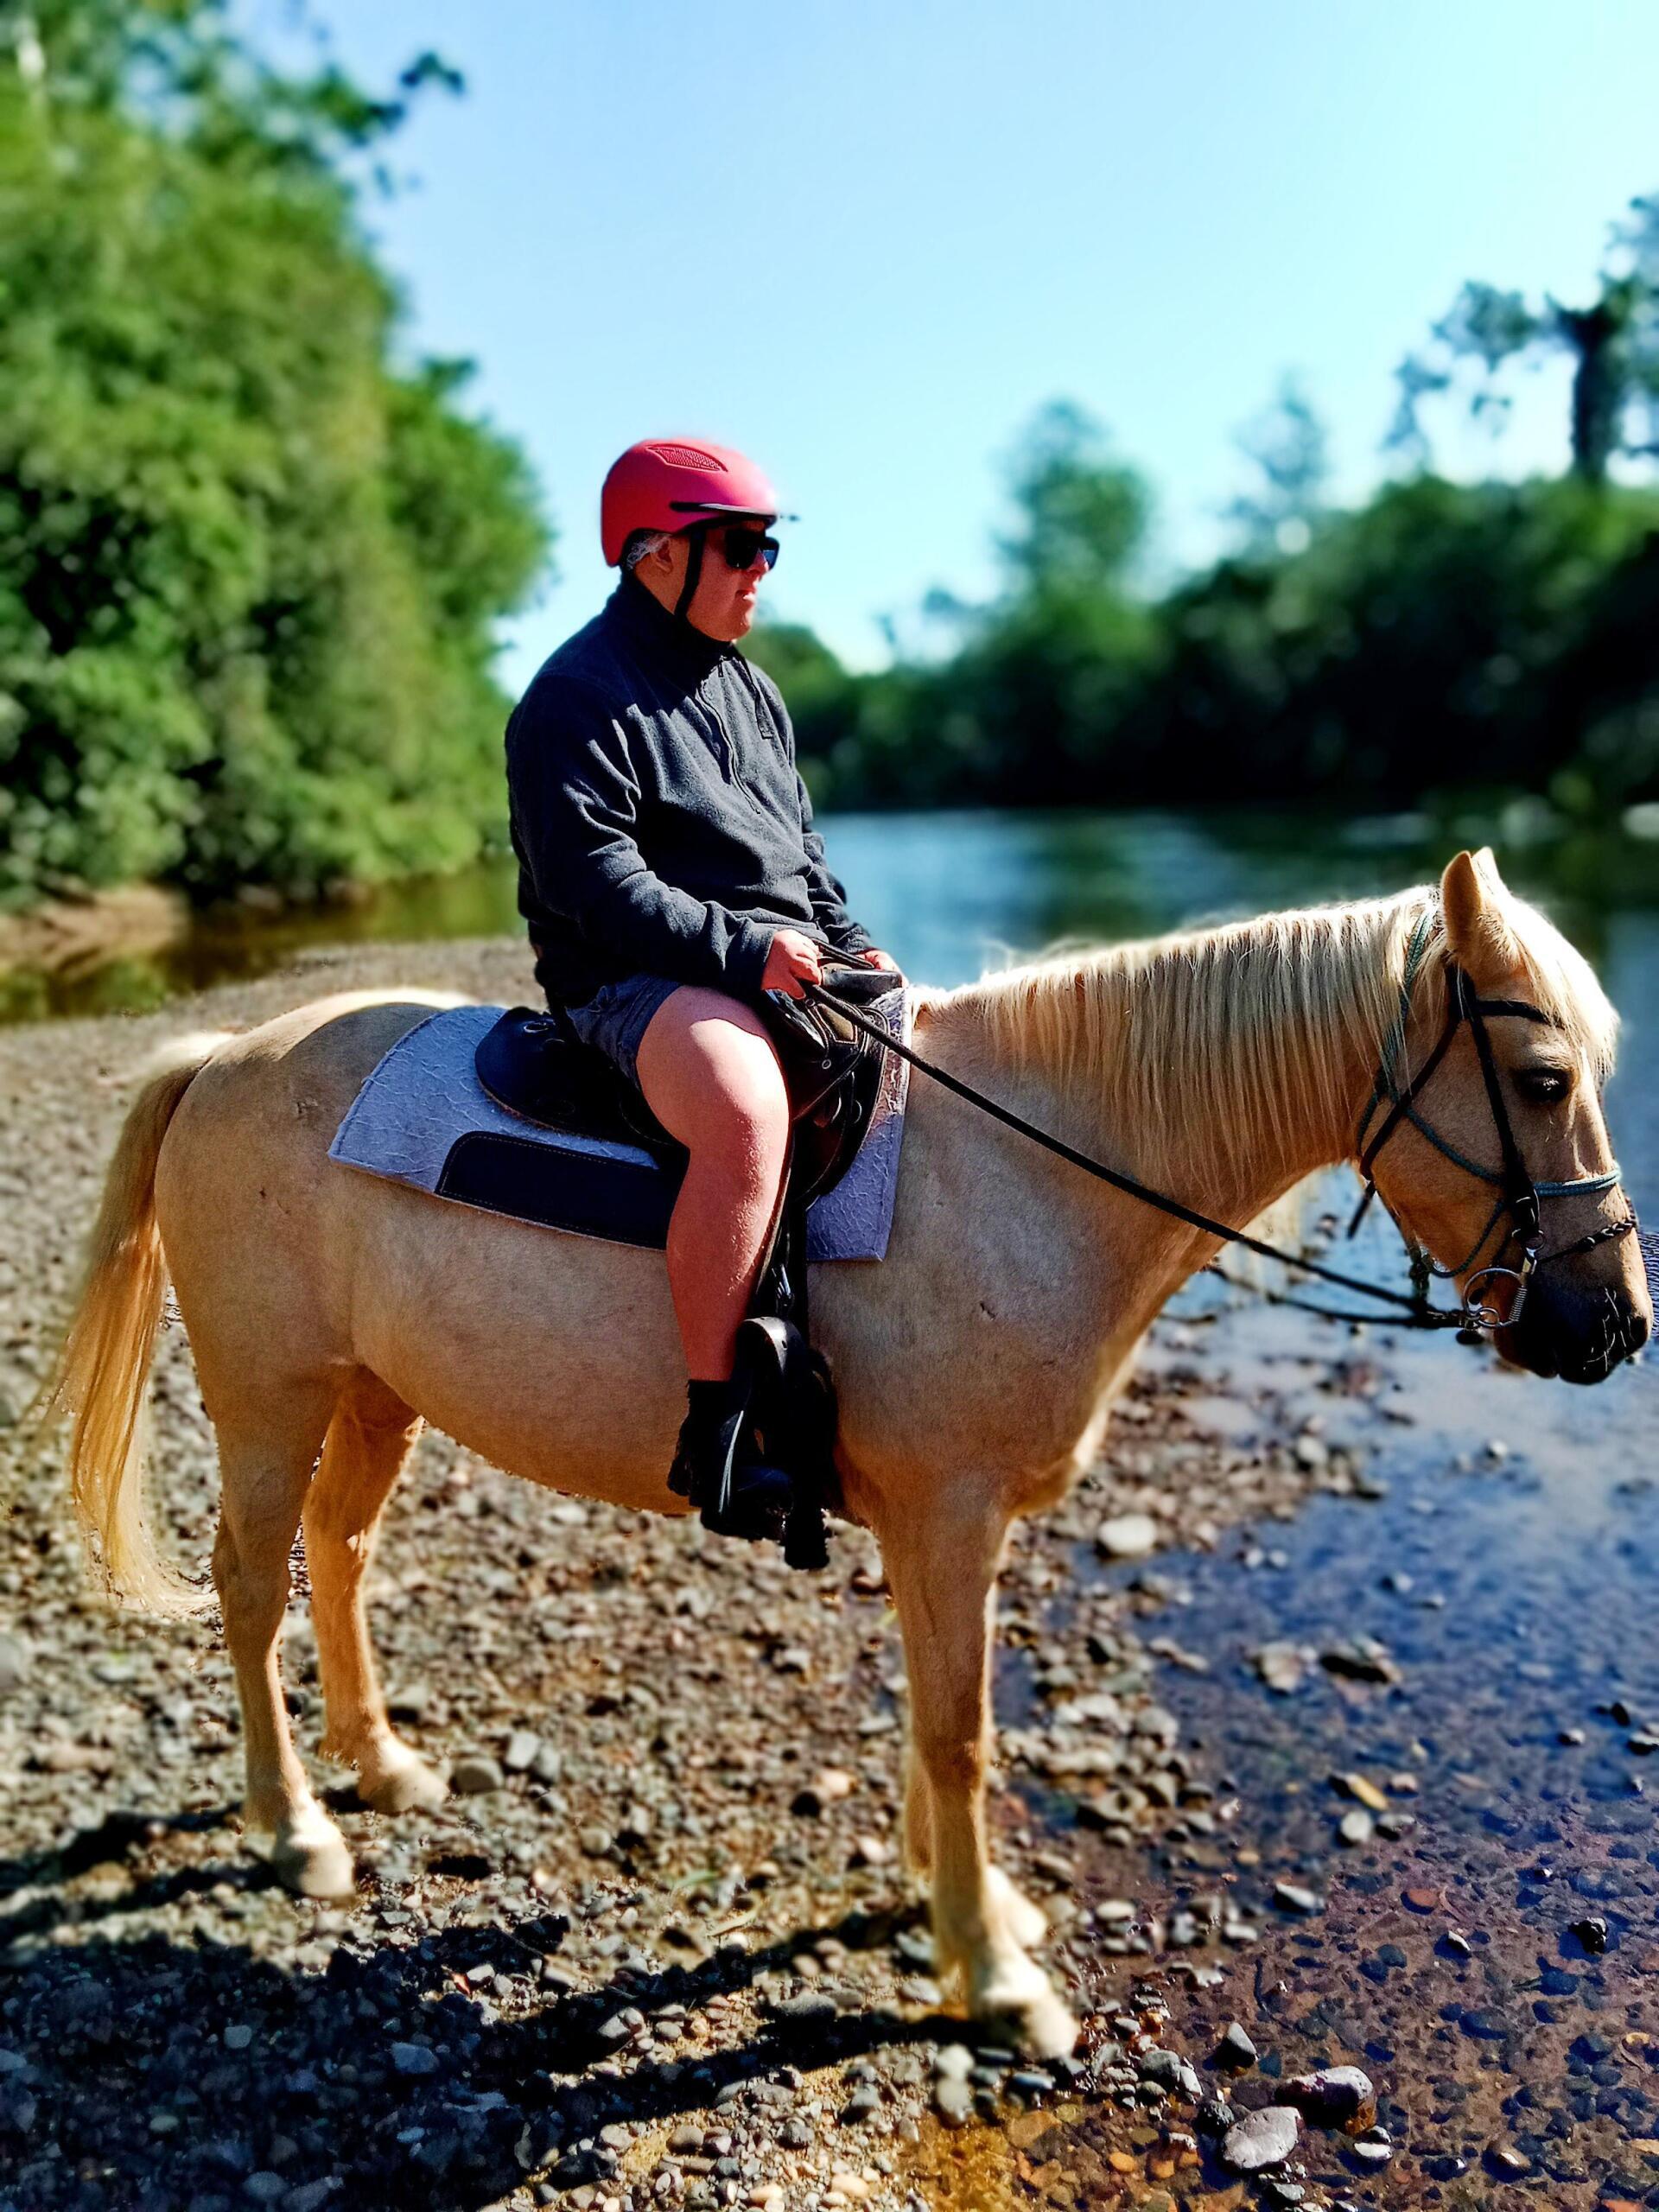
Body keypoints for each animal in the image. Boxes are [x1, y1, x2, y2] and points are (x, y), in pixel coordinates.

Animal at [40, 849, 1650, 2058]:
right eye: (1544, 1075)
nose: (1616, 1325)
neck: (1024, 1171)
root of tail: (224, 1056)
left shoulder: (941, 1532)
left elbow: (934, 1721)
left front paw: (954, 1907)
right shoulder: (948, 1517)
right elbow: (959, 1733)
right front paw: (992, 1976)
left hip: (373, 1395)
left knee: (339, 1550)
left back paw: (380, 1766)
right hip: (269, 1394)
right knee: (251, 1586)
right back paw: (296, 1829)